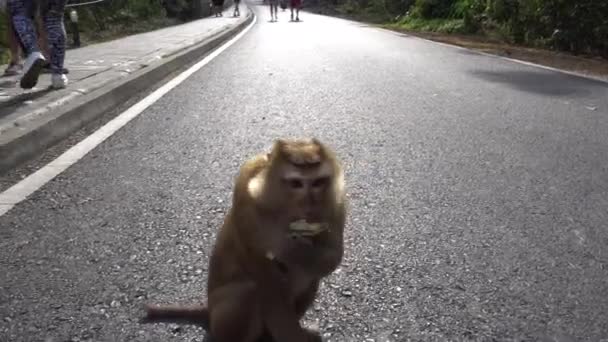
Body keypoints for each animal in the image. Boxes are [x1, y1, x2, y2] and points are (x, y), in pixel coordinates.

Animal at [144, 138, 346, 342]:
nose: (309, 204)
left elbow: (332, 257)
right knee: (248, 291)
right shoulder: (246, 203)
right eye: (296, 183)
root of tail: (209, 310)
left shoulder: (336, 204)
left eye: (318, 182)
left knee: (310, 276)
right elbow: (263, 276)